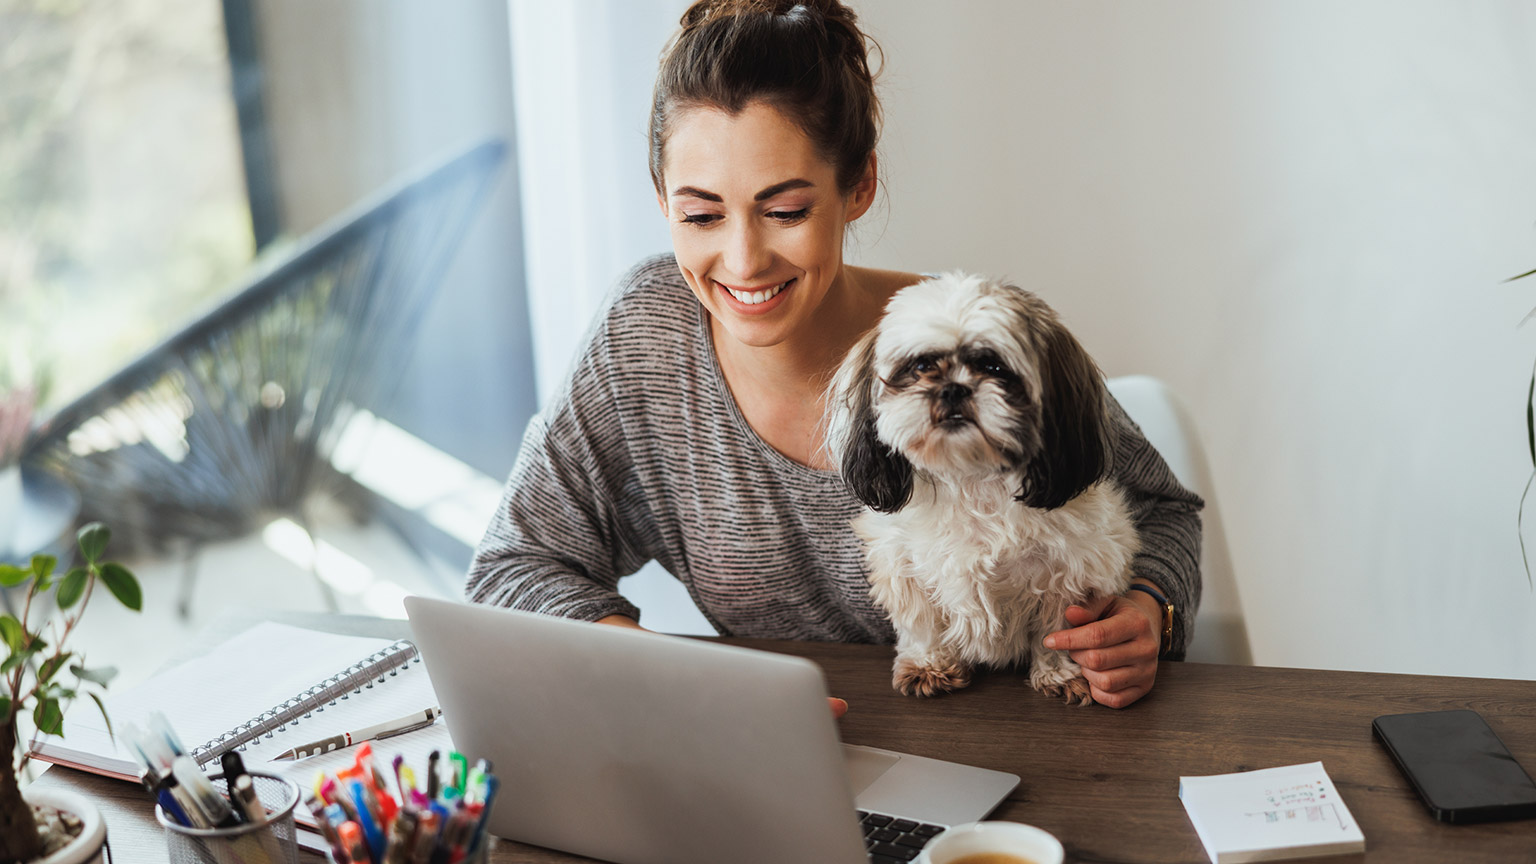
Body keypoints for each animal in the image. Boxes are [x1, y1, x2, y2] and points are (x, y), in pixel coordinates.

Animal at [829, 272, 1142, 704]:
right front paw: (929, 663)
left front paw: (1059, 673)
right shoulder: (903, 566)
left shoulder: (1070, 573)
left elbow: (1055, 631)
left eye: (993, 366)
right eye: (922, 365)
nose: (953, 388)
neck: (970, 476)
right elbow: (922, 622)